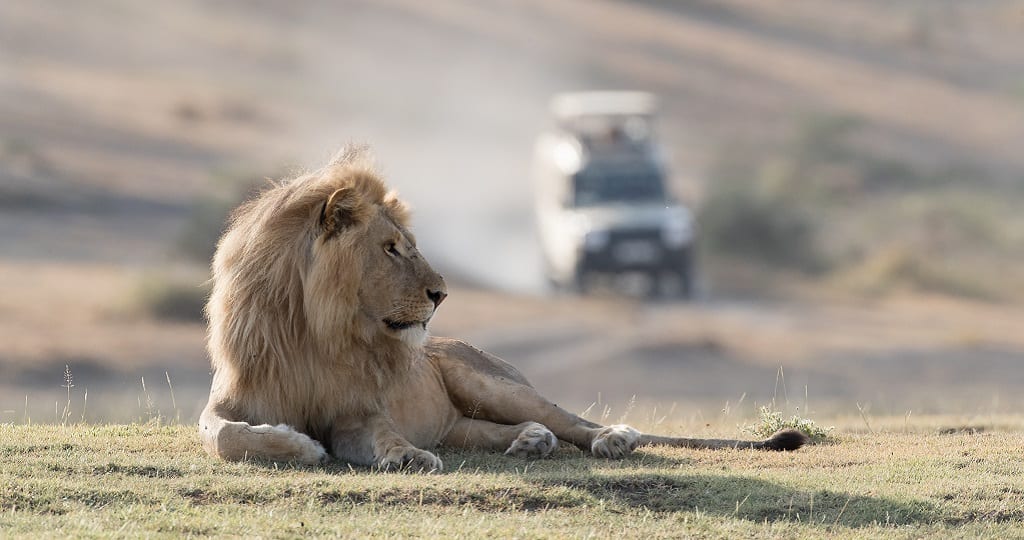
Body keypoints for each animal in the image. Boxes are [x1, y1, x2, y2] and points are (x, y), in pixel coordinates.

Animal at [199, 147, 806, 473]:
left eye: (409, 244)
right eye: (390, 248)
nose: (442, 294)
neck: (318, 332)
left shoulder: (359, 411)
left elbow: (383, 435)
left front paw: (406, 458)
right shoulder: (228, 403)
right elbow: (224, 435)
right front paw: (299, 444)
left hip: (489, 381)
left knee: (570, 419)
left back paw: (612, 437)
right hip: (460, 421)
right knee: (507, 430)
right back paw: (530, 442)